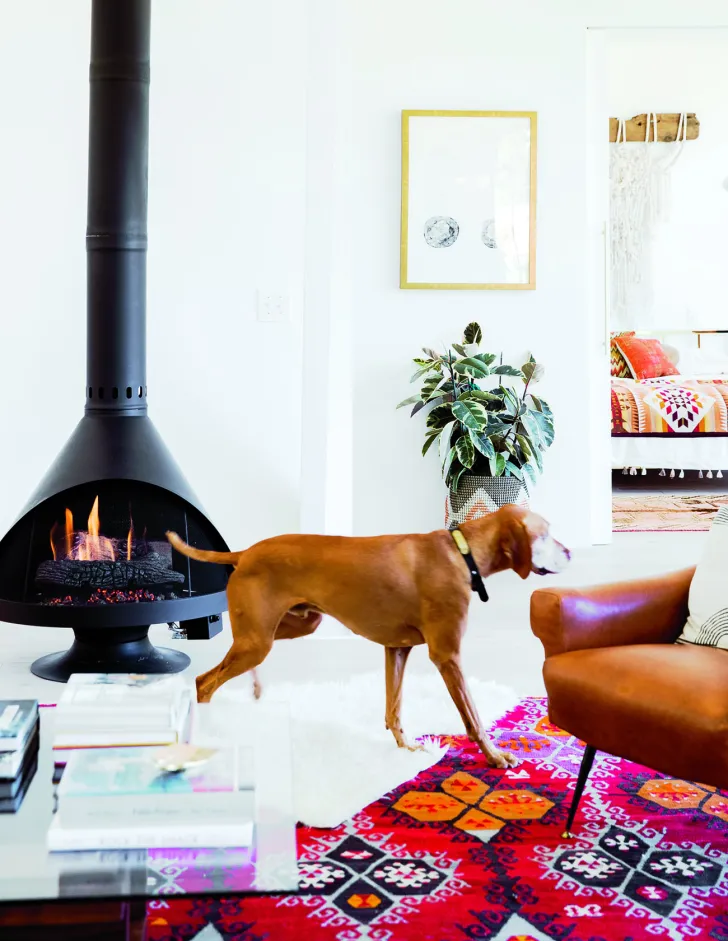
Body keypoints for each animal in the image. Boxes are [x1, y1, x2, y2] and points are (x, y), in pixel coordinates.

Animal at [168, 506, 572, 764]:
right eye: (546, 534)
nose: (569, 551)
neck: (461, 551)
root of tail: (244, 552)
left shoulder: (397, 649)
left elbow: (394, 707)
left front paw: (406, 747)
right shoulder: (447, 656)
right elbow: (472, 716)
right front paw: (495, 755)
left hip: (285, 628)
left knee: (228, 666)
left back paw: (254, 689)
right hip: (258, 640)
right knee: (204, 683)